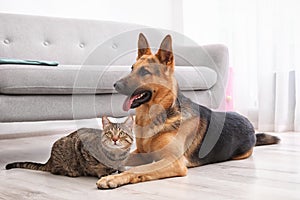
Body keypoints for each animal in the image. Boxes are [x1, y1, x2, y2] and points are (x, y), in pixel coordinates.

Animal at [5, 115, 134, 178]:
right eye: (109, 133)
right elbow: (95, 166)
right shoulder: (82, 147)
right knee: (55, 170)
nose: (115, 139)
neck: (116, 155)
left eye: (121, 133)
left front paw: (121, 169)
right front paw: (102, 172)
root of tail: (49, 160)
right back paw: (71, 172)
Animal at [96, 33, 278, 188]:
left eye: (144, 71)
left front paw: (114, 177)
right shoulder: (141, 152)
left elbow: (138, 169)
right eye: (132, 68)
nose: (115, 85)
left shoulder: (173, 161)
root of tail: (250, 124)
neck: (156, 115)